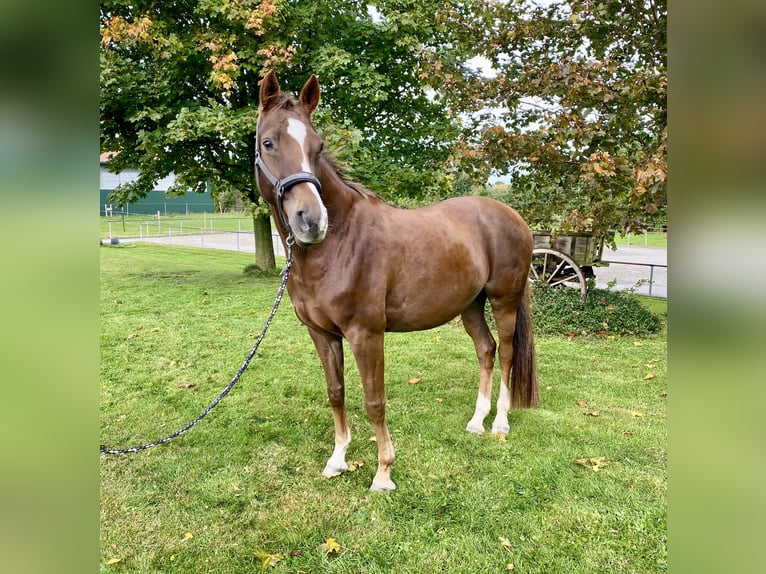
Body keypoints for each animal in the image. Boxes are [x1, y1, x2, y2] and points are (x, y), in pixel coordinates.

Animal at [255, 72, 536, 492]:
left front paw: (384, 472)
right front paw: (338, 459)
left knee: (505, 352)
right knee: (485, 350)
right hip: (470, 304)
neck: (339, 243)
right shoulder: (321, 334)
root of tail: (512, 215)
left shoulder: (366, 334)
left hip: (504, 300)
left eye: (317, 147)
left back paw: (500, 422)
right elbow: (336, 393)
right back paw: (476, 421)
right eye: (268, 142)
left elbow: (375, 400)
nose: (311, 220)